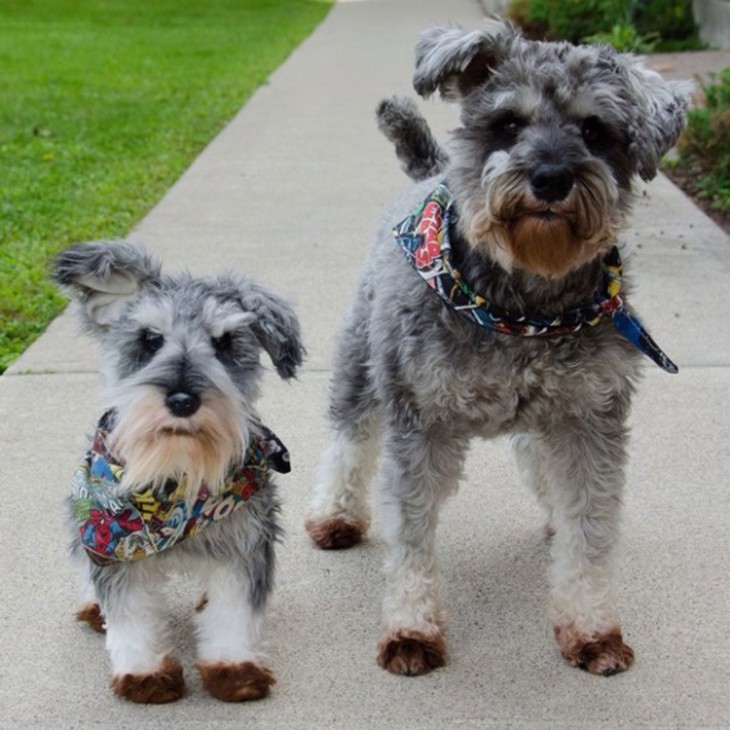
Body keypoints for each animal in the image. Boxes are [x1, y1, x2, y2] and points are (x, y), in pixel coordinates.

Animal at [54, 242, 302, 704]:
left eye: (224, 343)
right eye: (150, 339)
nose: (183, 400)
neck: (177, 472)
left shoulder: (243, 545)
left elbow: (233, 612)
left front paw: (233, 667)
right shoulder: (118, 552)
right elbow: (130, 618)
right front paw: (144, 674)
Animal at [302, 18, 688, 676]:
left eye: (595, 129)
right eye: (508, 123)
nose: (551, 179)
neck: (523, 305)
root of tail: (429, 171)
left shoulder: (590, 422)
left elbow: (589, 530)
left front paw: (592, 628)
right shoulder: (420, 424)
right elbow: (411, 537)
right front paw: (411, 629)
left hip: (544, 419)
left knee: (539, 466)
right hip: (360, 368)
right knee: (348, 441)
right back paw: (336, 514)